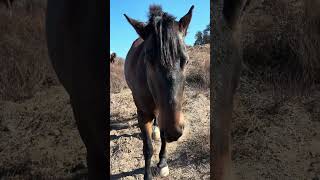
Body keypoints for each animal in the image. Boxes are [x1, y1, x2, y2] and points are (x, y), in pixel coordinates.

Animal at [124, 4, 194, 179]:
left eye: (186, 61)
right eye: (148, 60)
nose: (175, 131)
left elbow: (163, 136)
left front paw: (162, 163)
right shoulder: (143, 114)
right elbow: (148, 148)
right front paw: (147, 175)